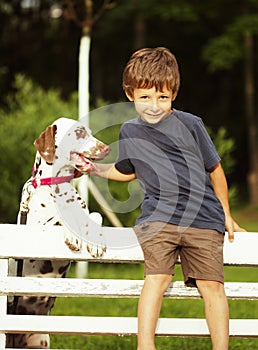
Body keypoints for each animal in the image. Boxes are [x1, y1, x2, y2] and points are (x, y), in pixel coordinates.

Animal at [6, 118, 110, 350]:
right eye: (78, 132)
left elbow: (95, 216)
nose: (106, 148)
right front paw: (73, 235)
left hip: (41, 341)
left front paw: (96, 242)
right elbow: (59, 220)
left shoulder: (89, 213)